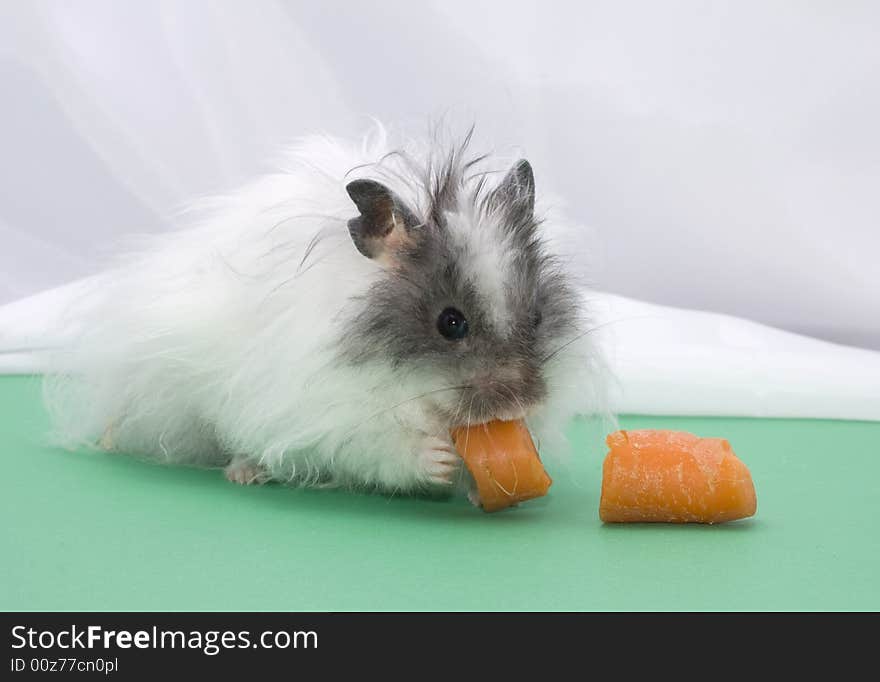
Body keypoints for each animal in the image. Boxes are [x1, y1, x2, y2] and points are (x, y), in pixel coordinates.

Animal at [44, 126, 608, 500]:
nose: (521, 405)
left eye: (537, 319)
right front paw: (440, 460)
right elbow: (384, 449)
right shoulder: (332, 417)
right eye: (451, 323)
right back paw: (246, 471)